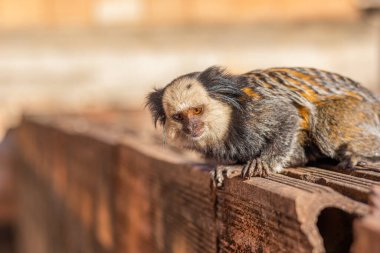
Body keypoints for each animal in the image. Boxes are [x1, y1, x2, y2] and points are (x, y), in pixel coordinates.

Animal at [145, 65, 380, 184]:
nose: (192, 126)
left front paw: (262, 163)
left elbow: (287, 115)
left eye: (196, 111)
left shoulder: (253, 113)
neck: (227, 119)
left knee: (324, 128)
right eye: (179, 117)